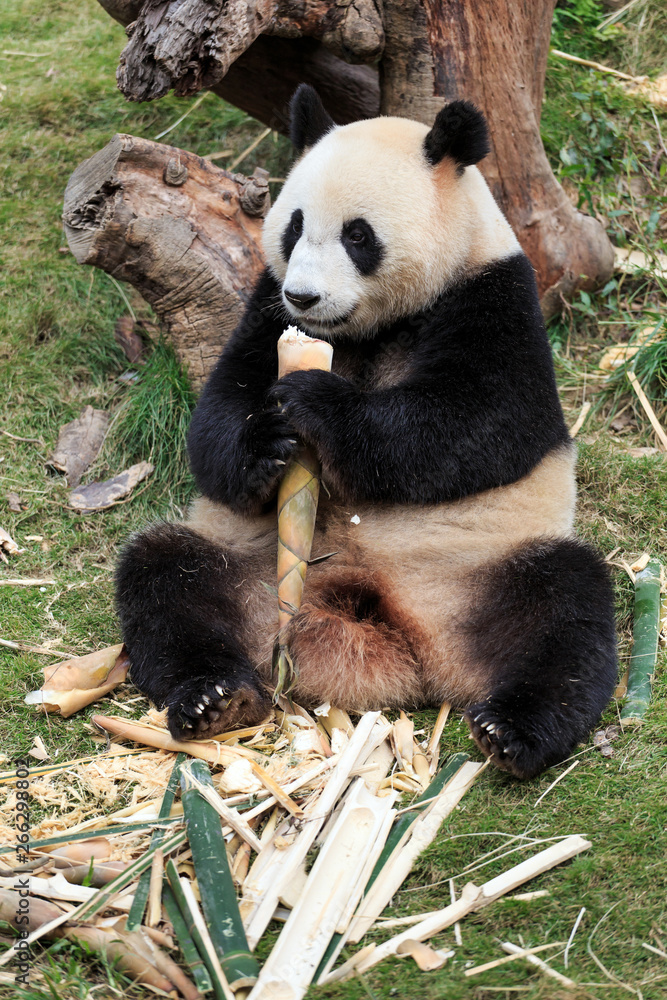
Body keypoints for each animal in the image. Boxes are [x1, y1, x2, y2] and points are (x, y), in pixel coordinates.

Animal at [115, 85, 618, 780]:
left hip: (476, 570)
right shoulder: (264, 304)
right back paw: (215, 697)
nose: (304, 297)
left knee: (565, 607)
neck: (366, 328)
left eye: (358, 235)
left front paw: (314, 405)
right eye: (294, 225)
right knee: (166, 575)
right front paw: (267, 442)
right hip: (248, 569)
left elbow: (483, 423)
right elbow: (218, 414)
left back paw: (514, 730)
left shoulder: (494, 295)